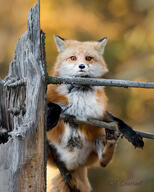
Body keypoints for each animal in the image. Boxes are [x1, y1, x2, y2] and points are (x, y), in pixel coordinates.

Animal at [46, 35, 144, 192]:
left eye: (88, 58)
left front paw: (133, 135)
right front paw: (52, 118)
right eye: (73, 58)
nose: (81, 66)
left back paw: (111, 141)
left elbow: (119, 121)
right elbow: (55, 106)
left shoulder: (98, 114)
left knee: (103, 162)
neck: (80, 93)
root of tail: (72, 166)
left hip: (97, 140)